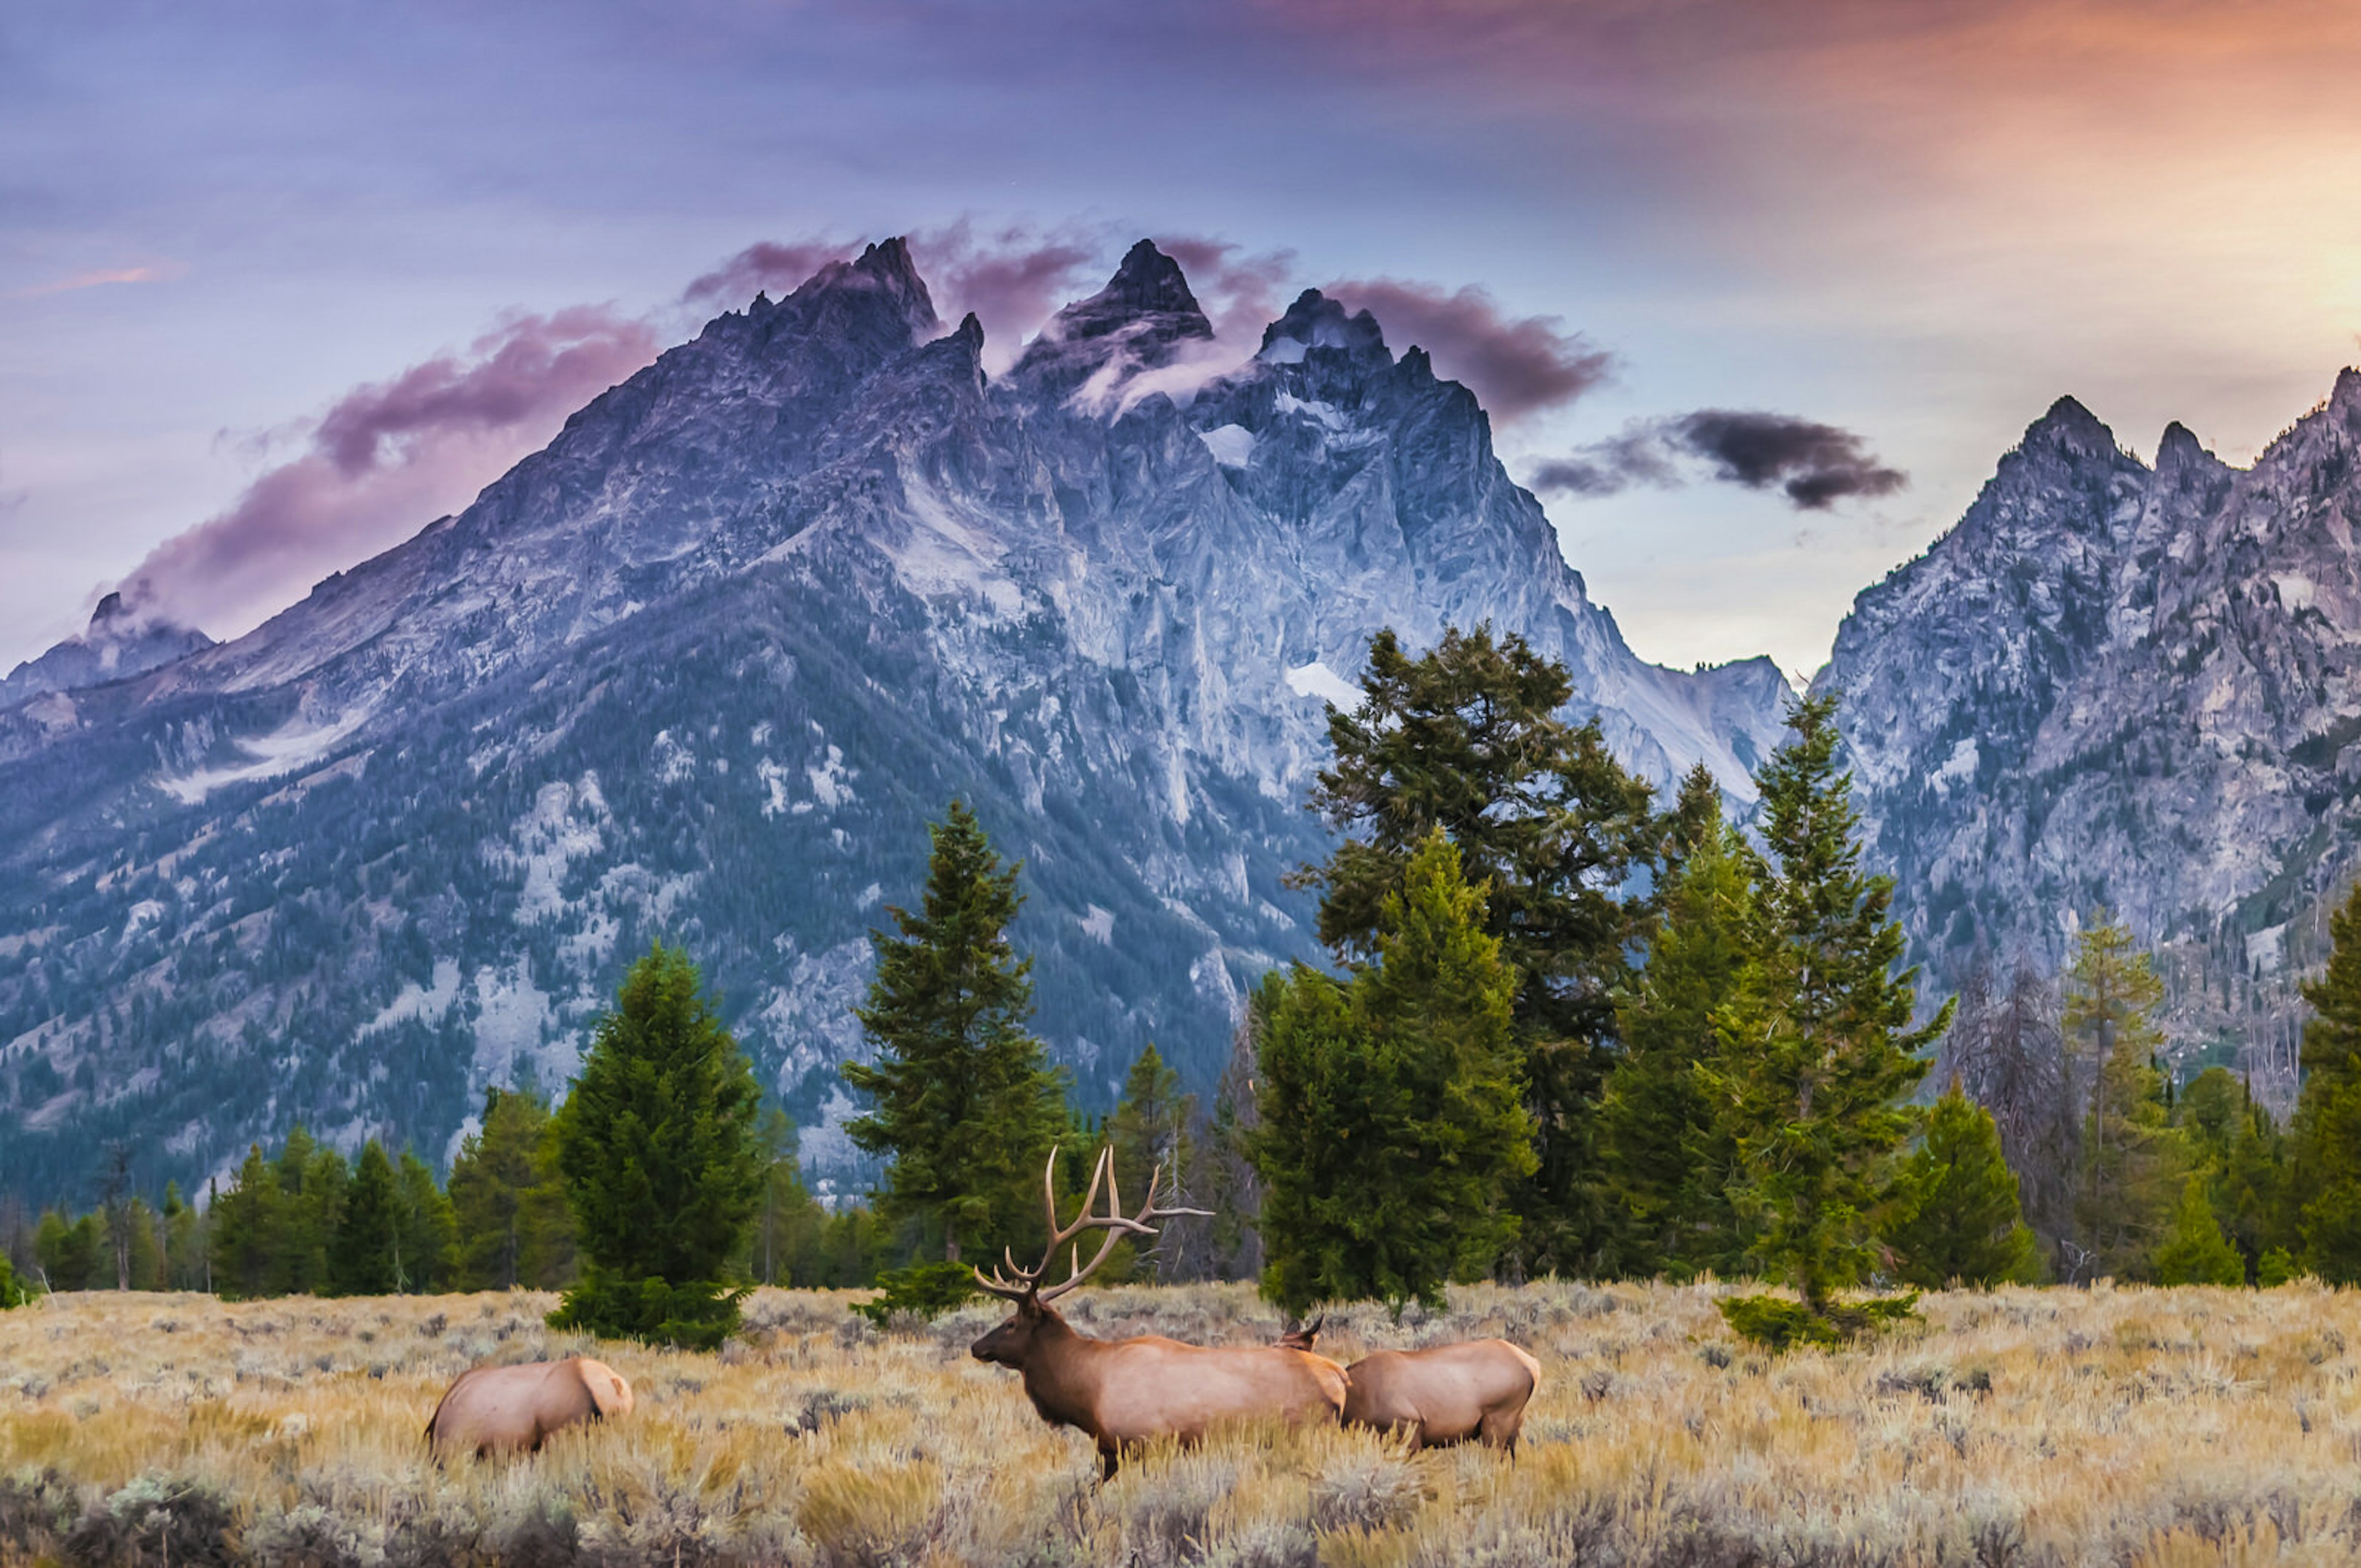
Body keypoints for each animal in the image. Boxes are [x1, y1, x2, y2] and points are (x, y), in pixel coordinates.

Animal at [968, 1148, 1350, 1473]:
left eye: (1011, 1323)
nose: (976, 1346)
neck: (1088, 1395)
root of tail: (1340, 1378)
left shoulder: (1143, 1443)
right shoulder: (1110, 1451)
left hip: (1301, 1433)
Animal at [1284, 1313, 1539, 1454]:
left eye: (1297, 1347)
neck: (1355, 1401)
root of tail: (1534, 1366)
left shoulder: (1410, 1429)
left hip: (1497, 1422)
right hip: (1514, 1425)